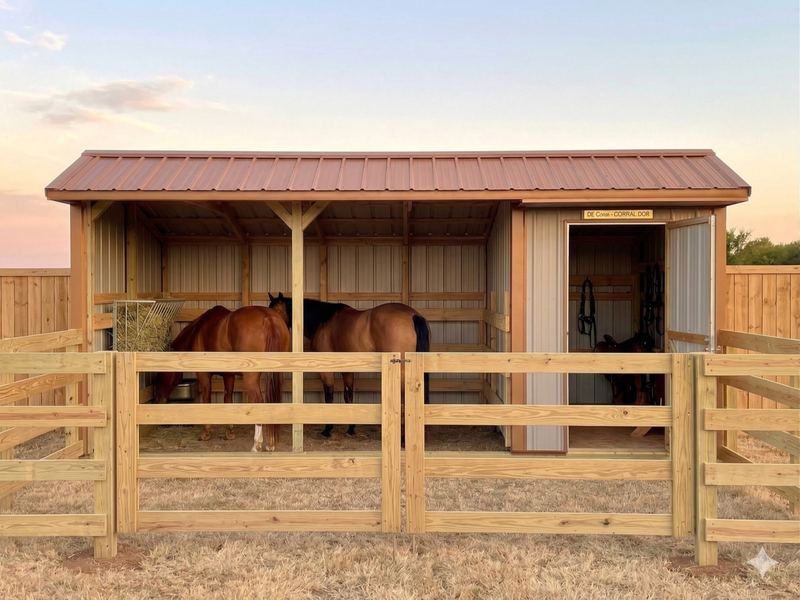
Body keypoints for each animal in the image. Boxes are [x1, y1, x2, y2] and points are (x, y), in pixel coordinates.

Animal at [154, 305, 290, 452]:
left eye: (160, 373)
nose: (158, 399)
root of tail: (268, 318)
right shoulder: (229, 375)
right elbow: (228, 399)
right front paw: (229, 433)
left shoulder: (204, 374)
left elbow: (207, 399)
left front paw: (206, 433)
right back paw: (271, 444)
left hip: (251, 377)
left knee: (259, 402)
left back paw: (256, 444)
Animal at [267, 293, 430, 437]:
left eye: (276, 310)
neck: (323, 321)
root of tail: (413, 315)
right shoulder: (347, 369)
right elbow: (348, 396)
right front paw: (351, 429)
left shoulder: (327, 369)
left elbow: (329, 396)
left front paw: (327, 429)